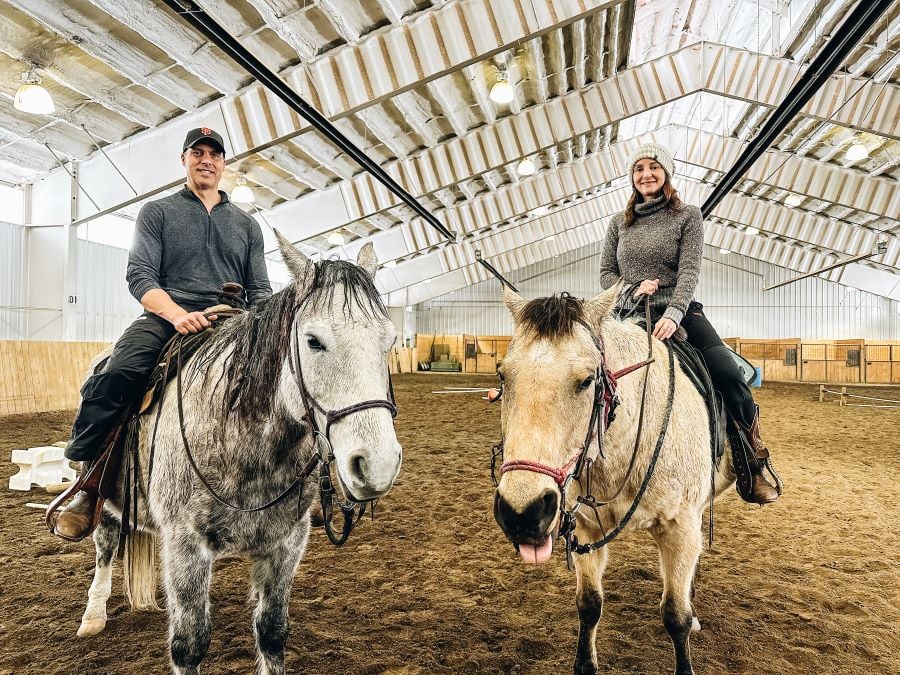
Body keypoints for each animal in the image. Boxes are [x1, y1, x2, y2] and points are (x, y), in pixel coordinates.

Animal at [72, 234, 402, 675]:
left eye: (390, 341)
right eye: (313, 341)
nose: (377, 465)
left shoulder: (286, 544)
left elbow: (272, 631)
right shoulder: (186, 546)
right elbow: (189, 644)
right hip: (106, 498)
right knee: (105, 543)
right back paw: (93, 614)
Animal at [492, 282, 740, 675]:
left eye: (586, 380)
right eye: (503, 375)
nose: (523, 513)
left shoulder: (681, 528)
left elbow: (676, 616)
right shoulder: (584, 528)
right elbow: (589, 605)